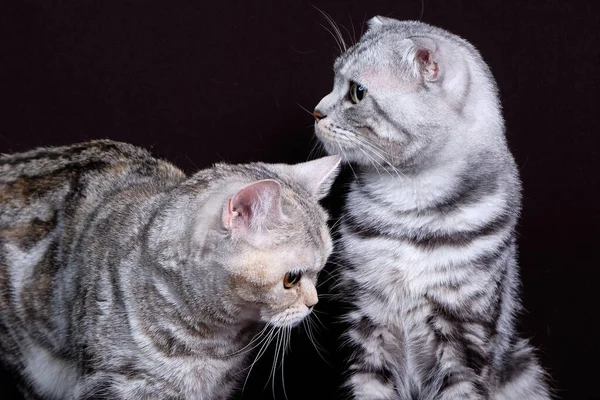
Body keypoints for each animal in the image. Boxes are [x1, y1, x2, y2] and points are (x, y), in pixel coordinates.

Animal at [314, 16, 552, 400]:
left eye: (357, 92)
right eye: (334, 79)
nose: (315, 111)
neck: (410, 202)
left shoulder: (464, 340)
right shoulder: (365, 322)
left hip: (523, 367)